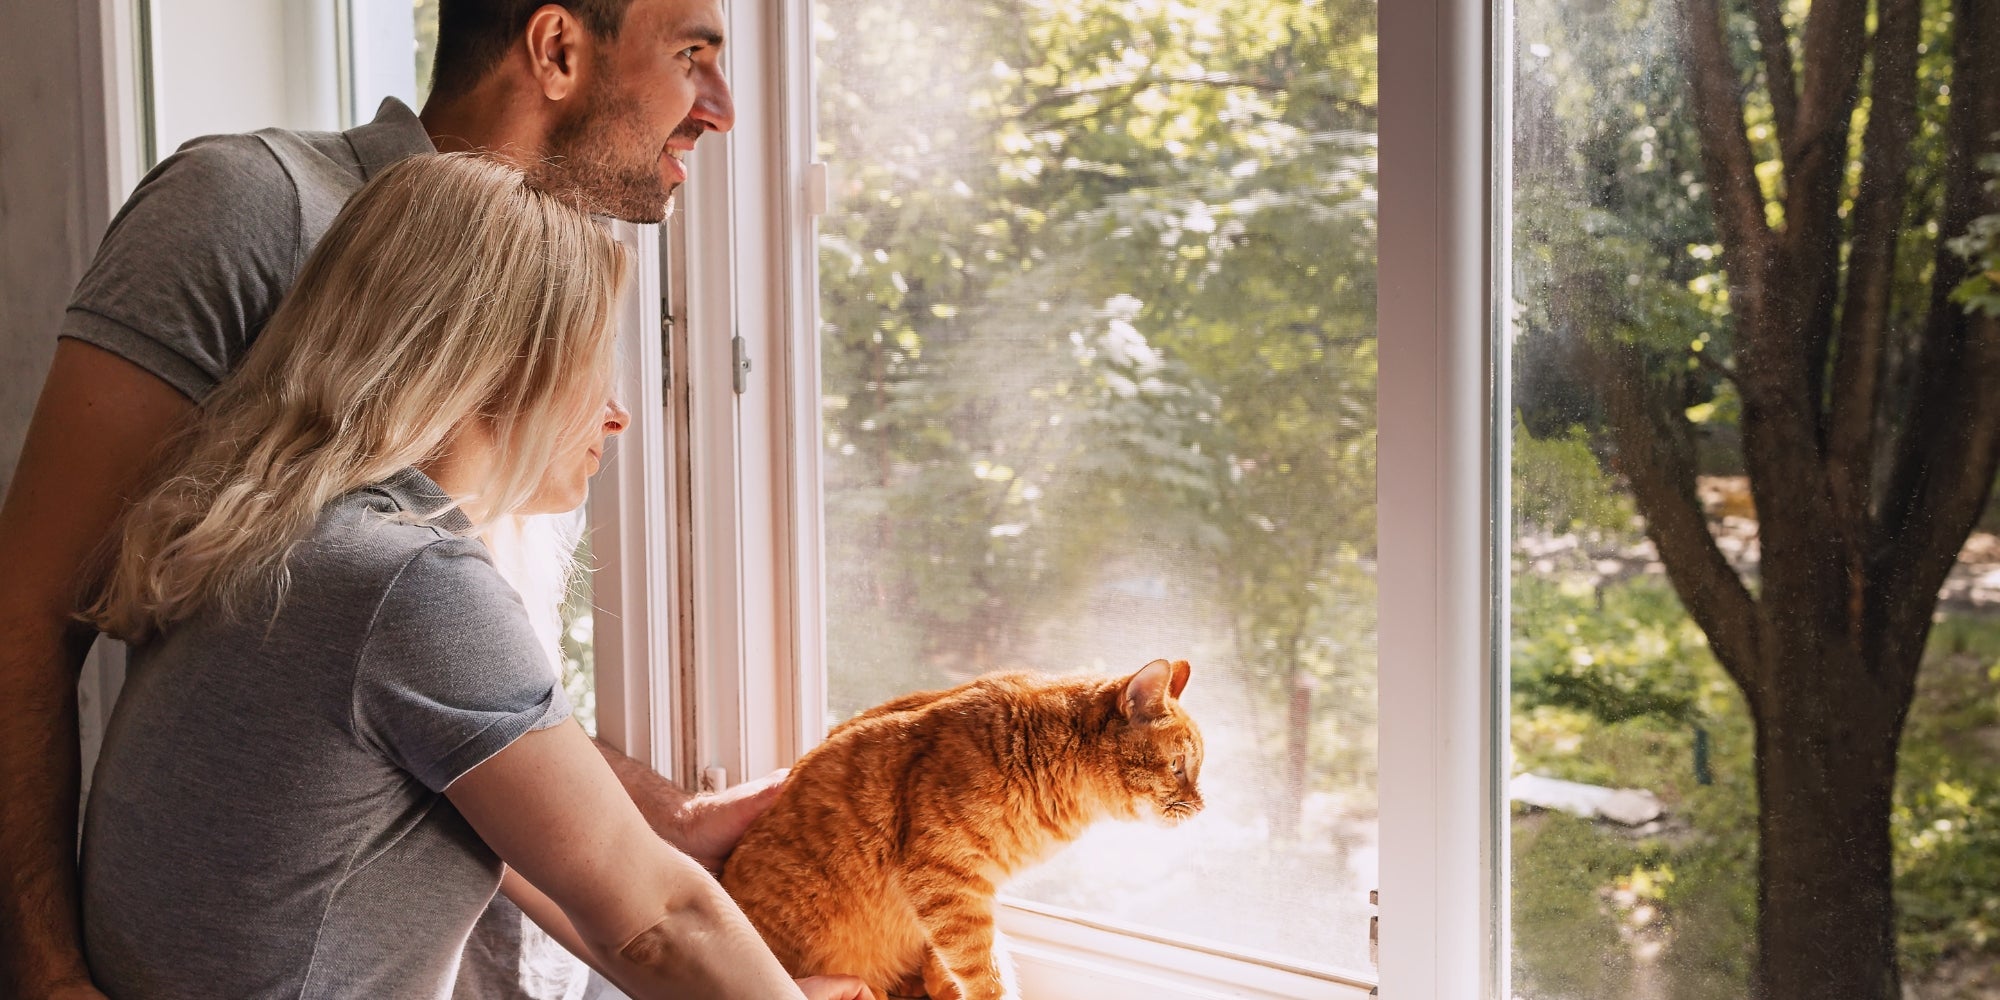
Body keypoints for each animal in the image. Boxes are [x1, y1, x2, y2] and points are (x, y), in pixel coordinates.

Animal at [720, 660, 1200, 996]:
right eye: (1178, 766)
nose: (1200, 807)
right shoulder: (944, 881)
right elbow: (983, 970)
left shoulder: (966, 894)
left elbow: (968, 953)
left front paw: (939, 980)